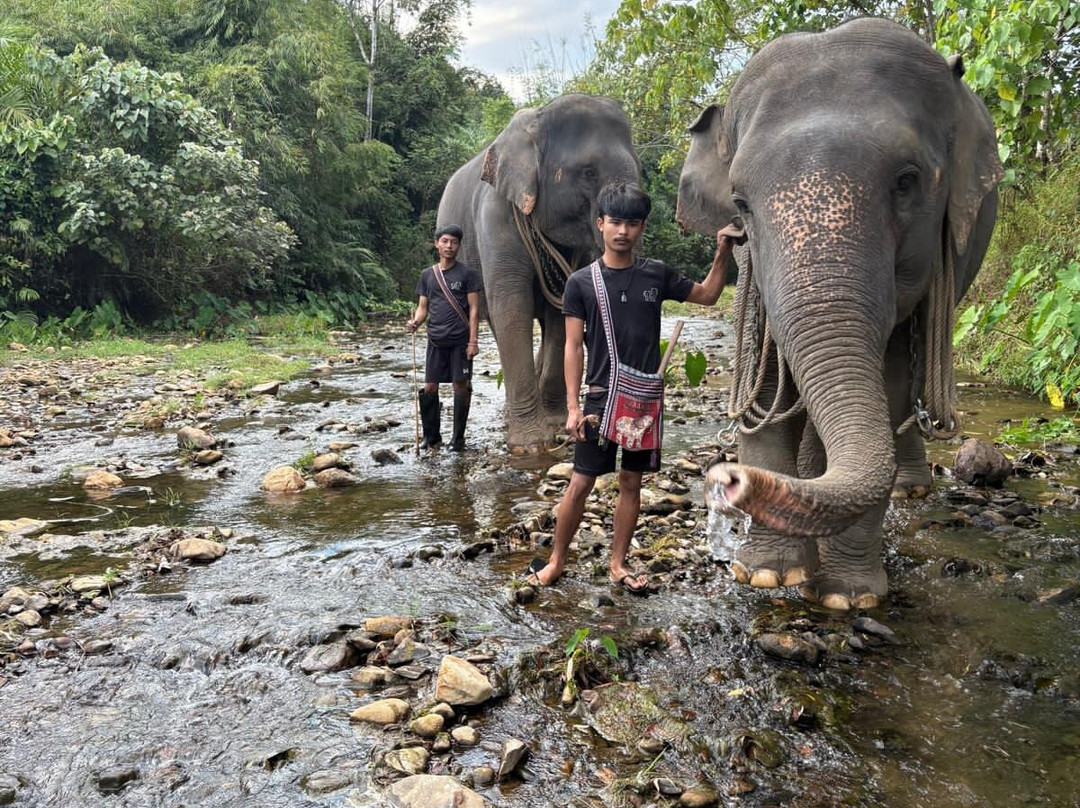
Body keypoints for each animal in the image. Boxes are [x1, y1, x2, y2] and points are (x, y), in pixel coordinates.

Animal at [437, 94, 640, 452]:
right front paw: (531, 444)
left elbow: (563, 312)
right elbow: (511, 308)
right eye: (588, 172)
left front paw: (558, 424)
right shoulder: (495, 215)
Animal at [676, 18, 1002, 610]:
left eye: (907, 180)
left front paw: (847, 598)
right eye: (740, 203)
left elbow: (886, 383)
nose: (729, 480)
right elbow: (766, 383)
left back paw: (907, 487)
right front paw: (768, 575)